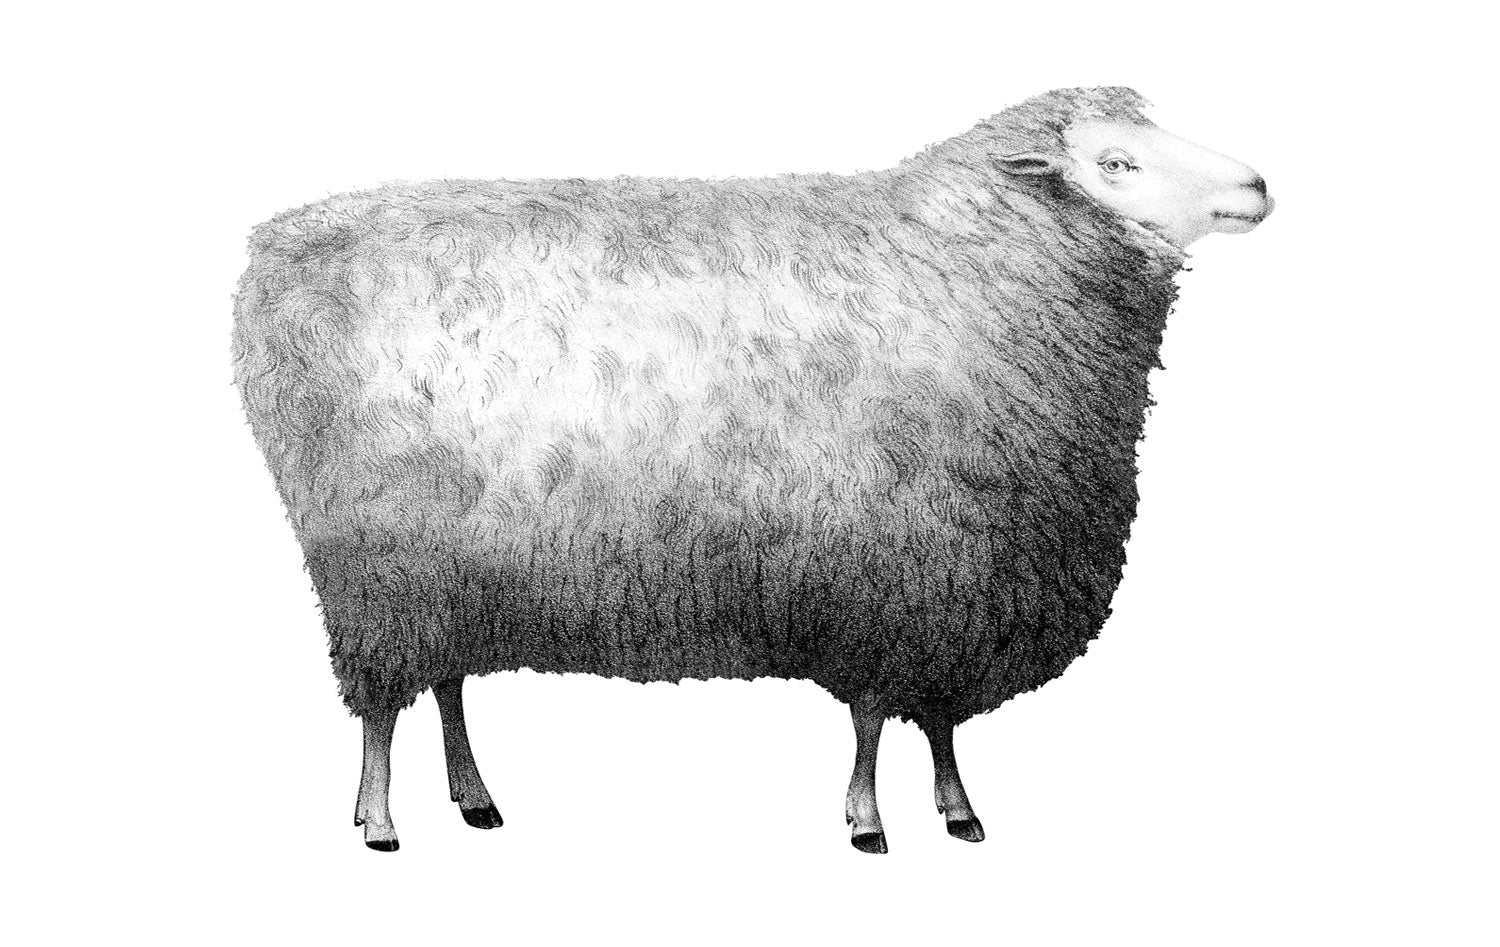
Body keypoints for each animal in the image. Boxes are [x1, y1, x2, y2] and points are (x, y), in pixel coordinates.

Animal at [232, 86, 1273, 853]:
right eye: (1117, 162)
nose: (1259, 183)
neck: (970, 268)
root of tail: (271, 249)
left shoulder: (959, 585)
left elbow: (939, 722)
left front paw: (958, 808)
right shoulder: (894, 573)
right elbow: (872, 721)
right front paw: (868, 822)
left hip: (450, 566)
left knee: (444, 684)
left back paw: (472, 796)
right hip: (374, 566)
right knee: (379, 709)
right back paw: (379, 820)